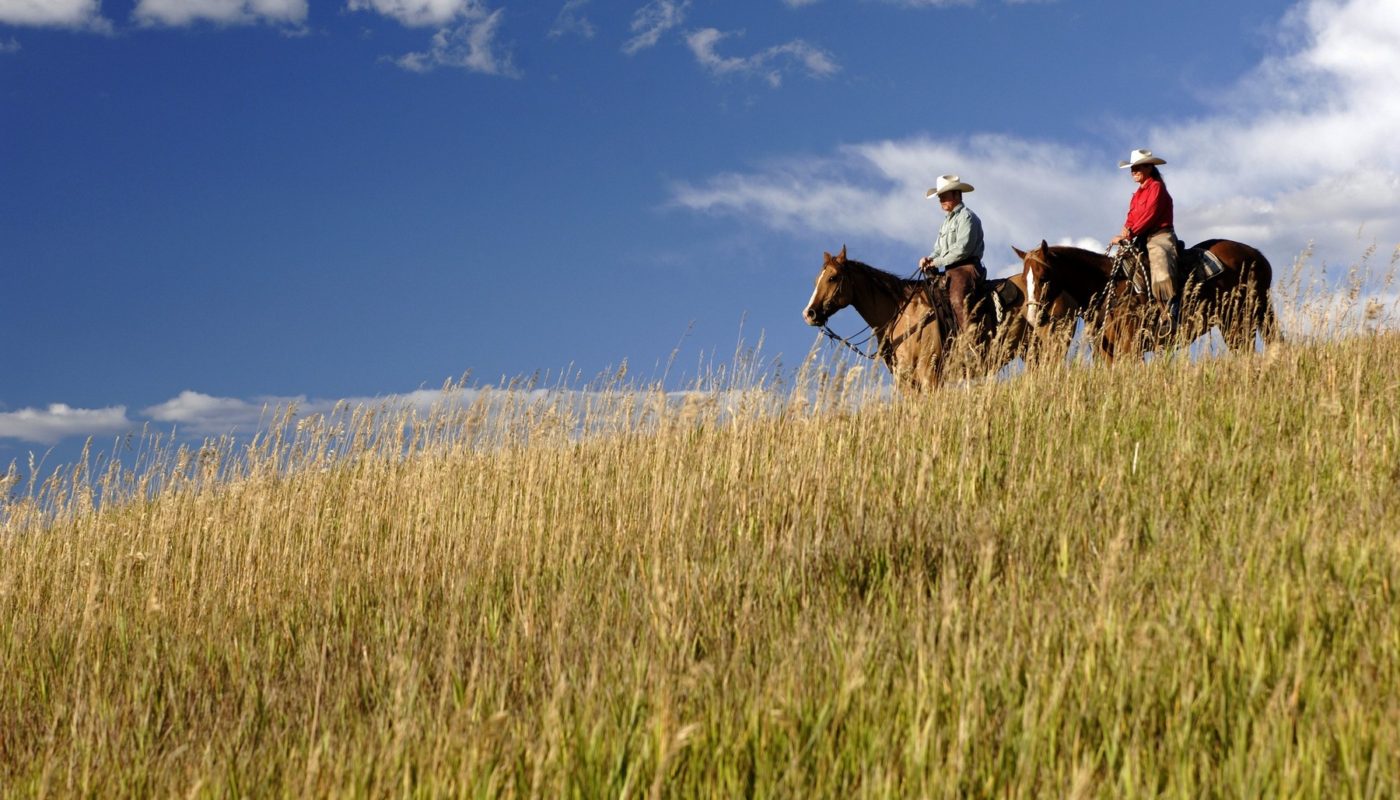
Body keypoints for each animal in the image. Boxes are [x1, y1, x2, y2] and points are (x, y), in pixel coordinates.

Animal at [806, 245, 1075, 392]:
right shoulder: (907, 381)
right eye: (816, 279)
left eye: (832, 278)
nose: (809, 313)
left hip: (1054, 344)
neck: (903, 313)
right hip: (1032, 352)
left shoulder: (930, 374)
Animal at [1019, 238, 1282, 364]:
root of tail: (1257, 255)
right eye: (1024, 279)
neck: (1107, 288)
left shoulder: (1129, 348)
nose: (1033, 317)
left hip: (1240, 321)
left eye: (1043, 277)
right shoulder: (1107, 353)